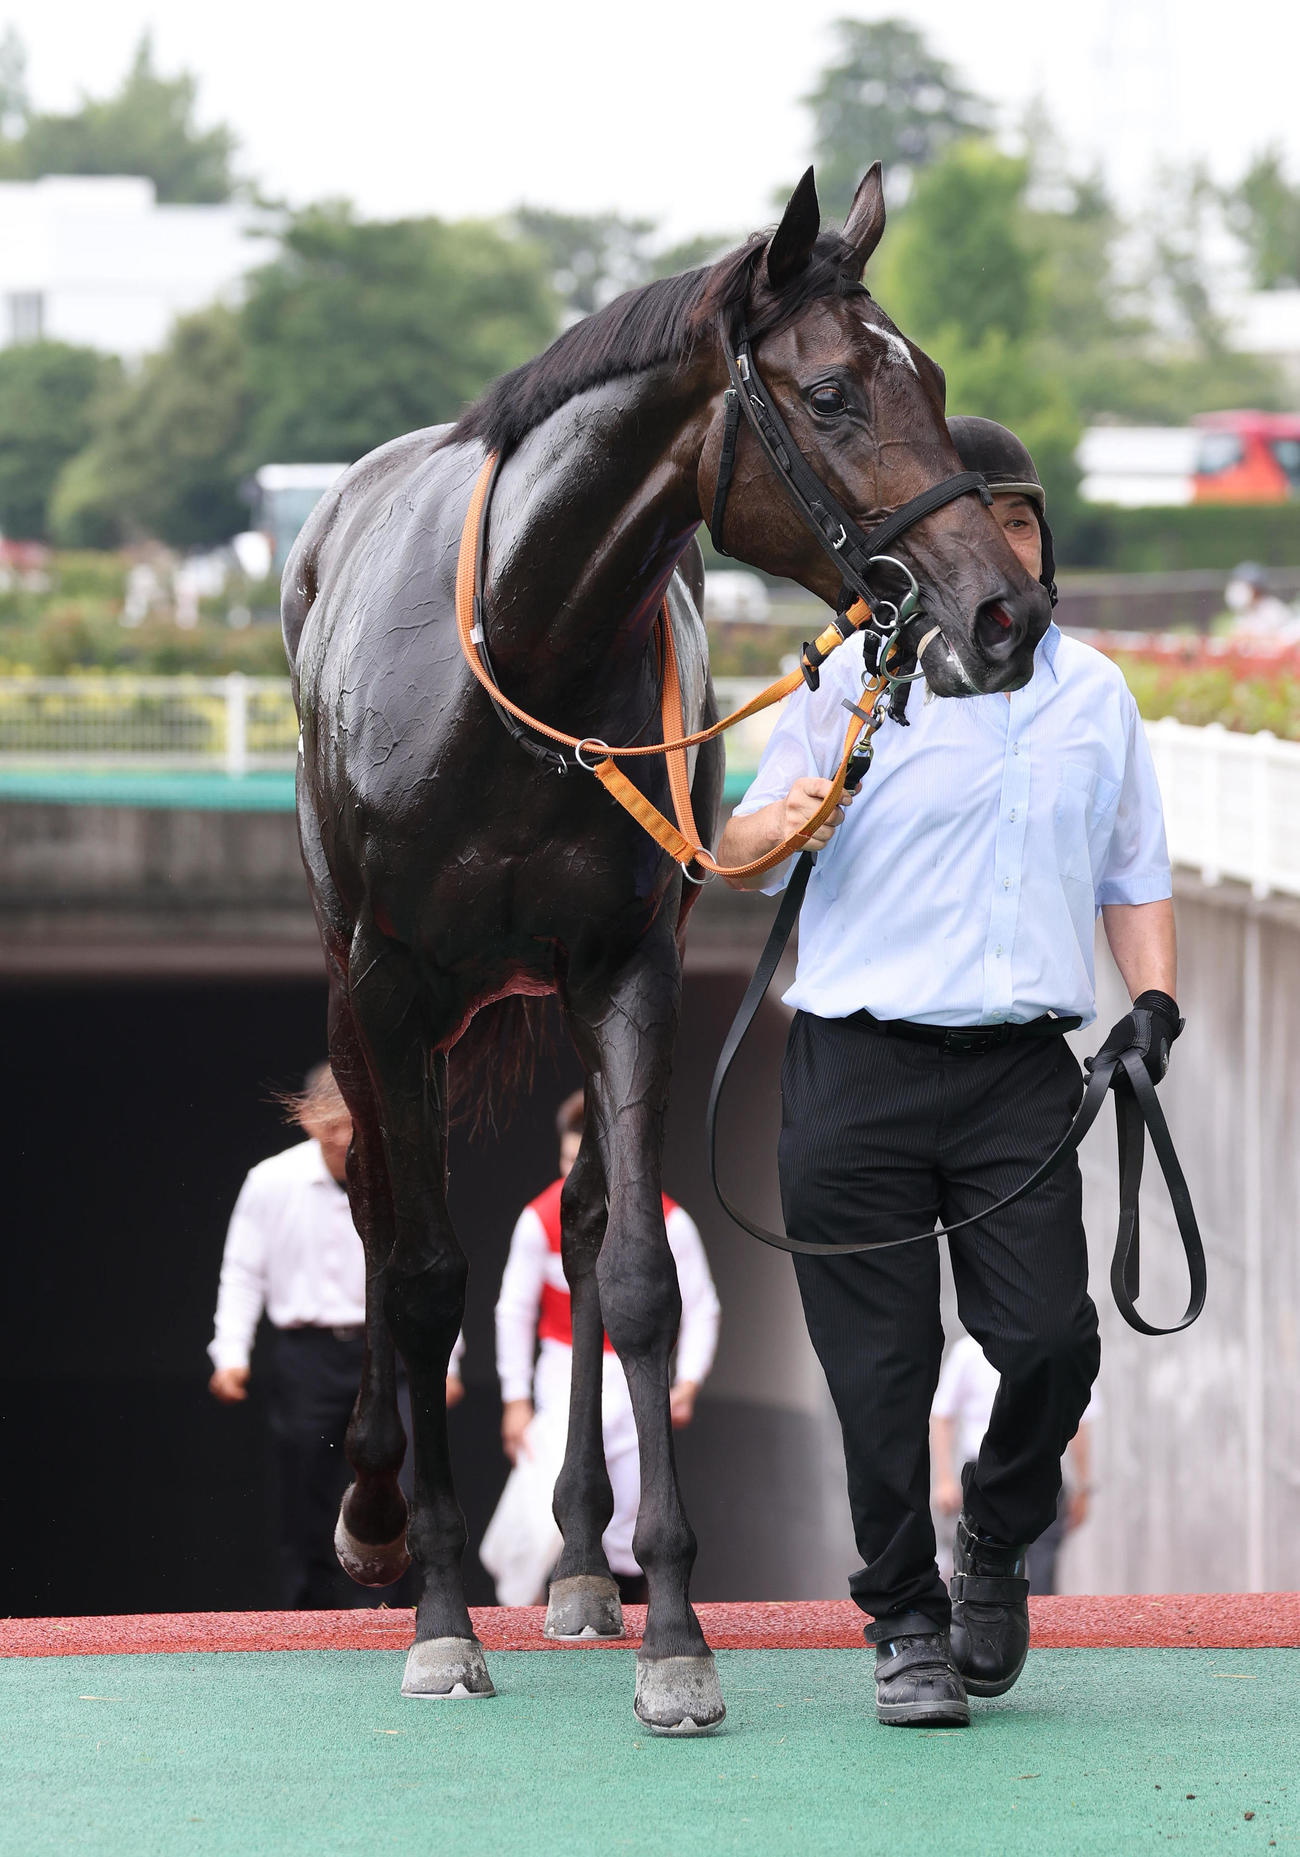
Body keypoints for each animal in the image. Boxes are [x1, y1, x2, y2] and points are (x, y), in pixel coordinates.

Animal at [283, 162, 1052, 1733]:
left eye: (934, 383)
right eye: (829, 395)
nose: (1000, 613)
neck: (516, 656)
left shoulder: (625, 967)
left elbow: (636, 1271)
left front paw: (676, 1637)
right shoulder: (390, 985)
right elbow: (424, 1269)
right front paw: (438, 1615)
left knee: (577, 1219)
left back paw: (583, 1564)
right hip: (358, 985)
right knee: (384, 1218)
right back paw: (379, 1511)